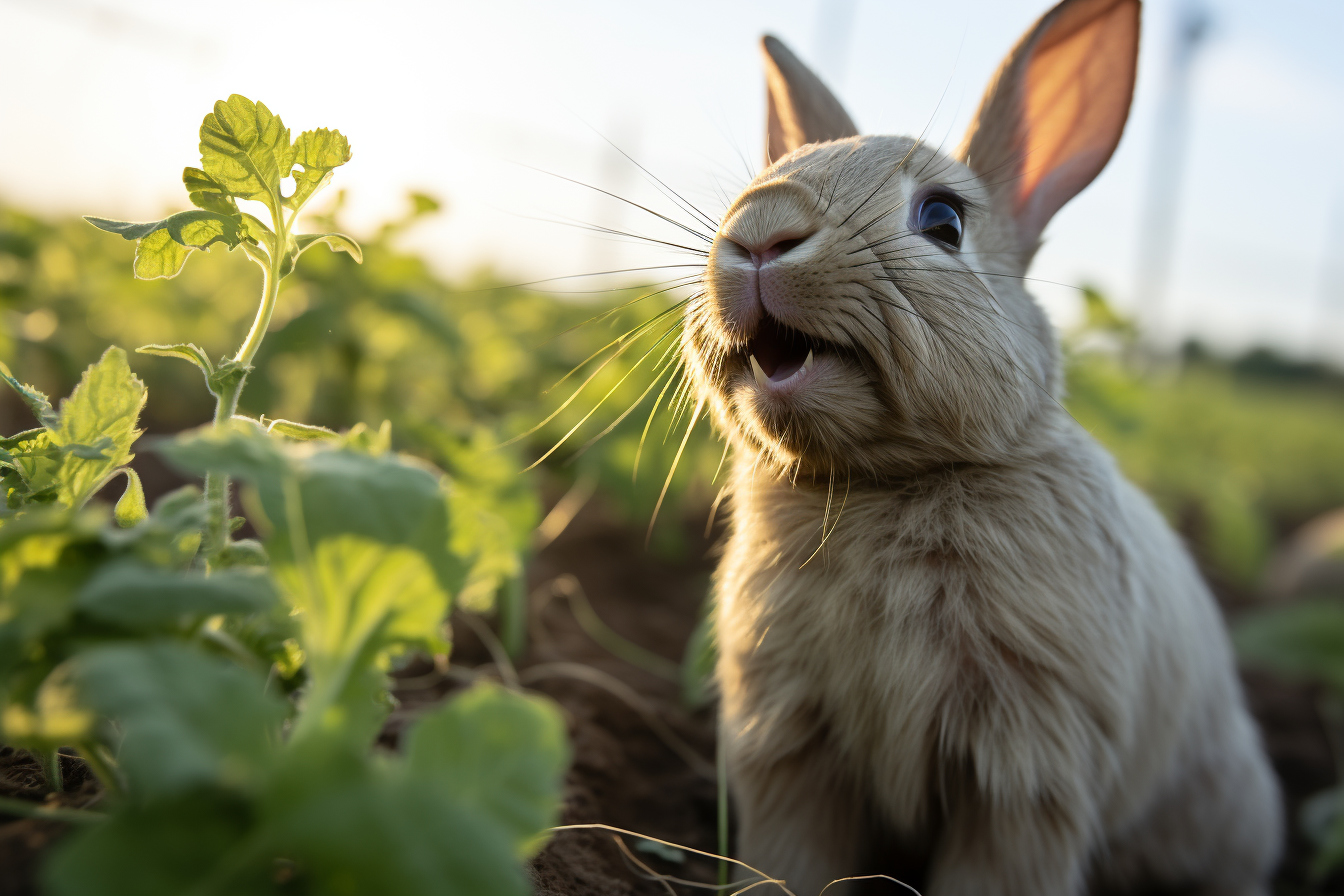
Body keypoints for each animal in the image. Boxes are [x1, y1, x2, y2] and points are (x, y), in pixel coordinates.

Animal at [688, 1, 1284, 896]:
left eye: (943, 221)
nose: (757, 233)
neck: (884, 480)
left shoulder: (1025, 767)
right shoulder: (790, 743)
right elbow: (794, 857)